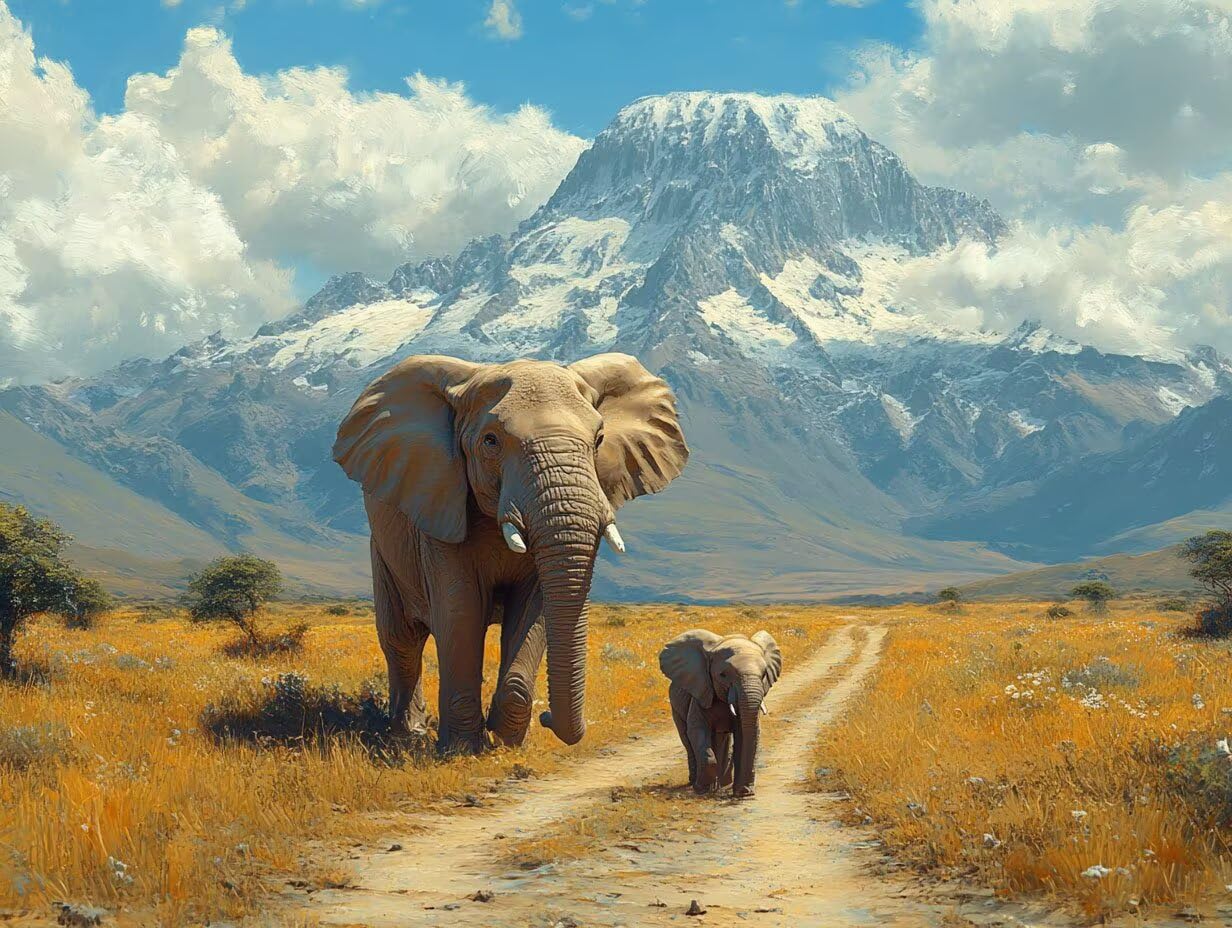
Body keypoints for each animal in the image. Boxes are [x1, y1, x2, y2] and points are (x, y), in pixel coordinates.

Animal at [333, 353, 688, 754]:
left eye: (599, 439)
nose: (547, 716)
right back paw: (408, 733)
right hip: (383, 546)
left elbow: (535, 610)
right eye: (490, 441)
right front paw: (463, 750)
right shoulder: (440, 507)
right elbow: (460, 610)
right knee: (401, 638)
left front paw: (505, 739)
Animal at [659, 629, 782, 798]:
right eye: (723, 675)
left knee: (722, 739)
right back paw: (697, 782)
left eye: (764, 675)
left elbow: (745, 733)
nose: (746, 792)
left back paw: (721, 784)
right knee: (686, 738)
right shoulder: (701, 692)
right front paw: (701, 789)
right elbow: (696, 731)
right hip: (675, 706)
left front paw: (742, 792)